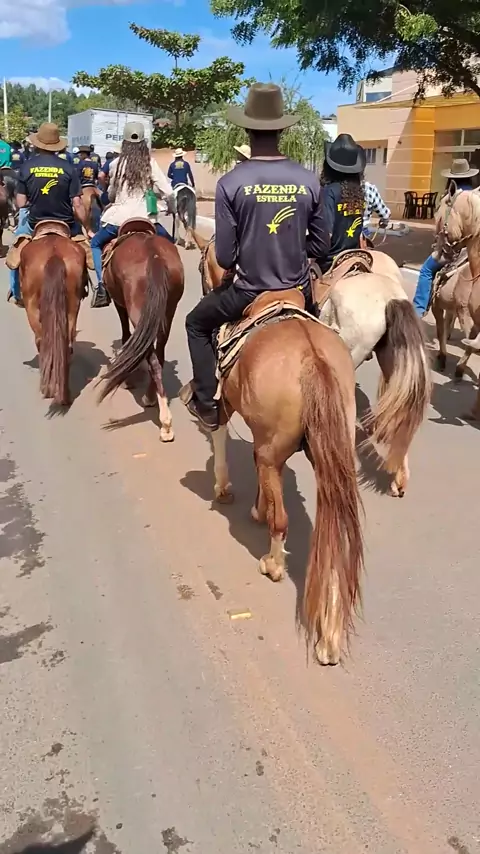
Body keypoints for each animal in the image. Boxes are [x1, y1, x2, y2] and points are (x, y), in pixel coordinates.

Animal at [19, 223, 88, 406]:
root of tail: (54, 255)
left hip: (31, 304)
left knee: (41, 340)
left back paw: (47, 387)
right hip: (72, 304)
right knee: (67, 343)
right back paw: (64, 393)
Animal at [97, 221, 184, 441]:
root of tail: (154, 256)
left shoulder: (120, 303)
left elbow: (126, 336)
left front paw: (127, 378)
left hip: (139, 311)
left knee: (150, 356)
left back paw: (165, 423)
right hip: (167, 311)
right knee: (158, 355)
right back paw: (152, 397)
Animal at [182, 289, 364, 665]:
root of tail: (313, 360)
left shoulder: (226, 406)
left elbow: (219, 433)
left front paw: (224, 489)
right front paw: (257, 506)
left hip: (274, 447)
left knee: (282, 519)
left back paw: (274, 564)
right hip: (332, 455)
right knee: (335, 534)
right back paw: (329, 637)